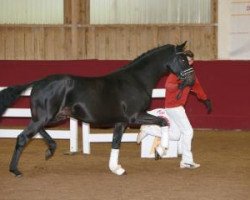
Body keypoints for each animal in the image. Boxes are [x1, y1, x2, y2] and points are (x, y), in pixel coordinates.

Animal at [0, 41, 195, 176]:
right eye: (182, 59)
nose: (191, 81)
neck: (136, 80)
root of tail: (39, 82)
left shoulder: (121, 122)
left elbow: (116, 142)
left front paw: (116, 168)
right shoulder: (134, 117)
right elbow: (163, 121)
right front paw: (160, 151)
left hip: (53, 116)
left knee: (36, 130)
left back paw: (51, 149)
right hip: (46, 117)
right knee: (23, 137)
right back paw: (15, 170)